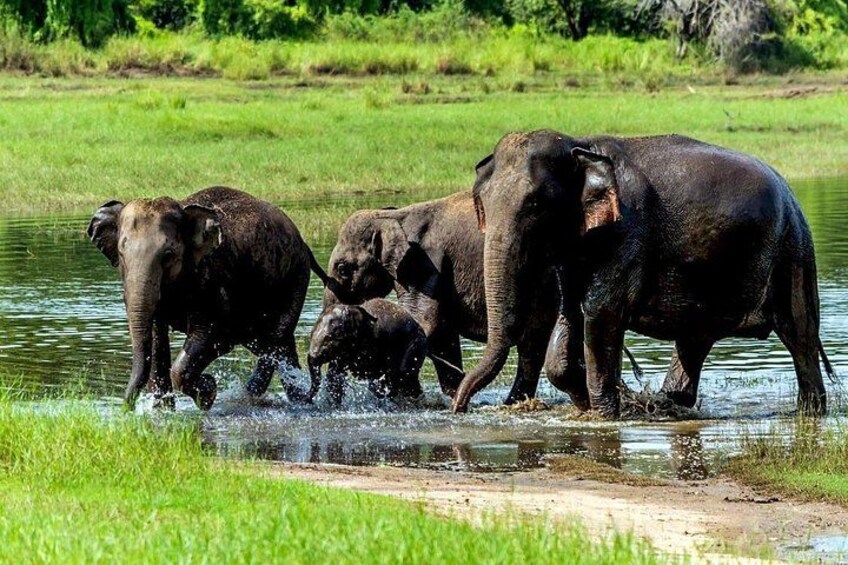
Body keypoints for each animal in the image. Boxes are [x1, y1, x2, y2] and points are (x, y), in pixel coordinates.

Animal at [88, 186, 329, 409]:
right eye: (121, 253)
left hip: (295, 278)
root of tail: (303, 244)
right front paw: (162, 412)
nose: (126, 409)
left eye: (168, 255)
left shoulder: (215, 277)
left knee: (275, 342)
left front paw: (208, 394)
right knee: (276, 345)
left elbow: (215, 336)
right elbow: (156, 337)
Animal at [453, 130, 835, 418]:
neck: (580, 144)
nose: (459, 407)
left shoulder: (628, 233)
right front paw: (593, 404)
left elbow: (601, 313)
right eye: (482, 204)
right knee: (695, 338)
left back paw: (809, 414)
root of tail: (790, 192)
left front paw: (606, 416)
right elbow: (570, 316)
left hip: (793, 249)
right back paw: (669, 405)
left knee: (799, 334)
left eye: (535, 205)